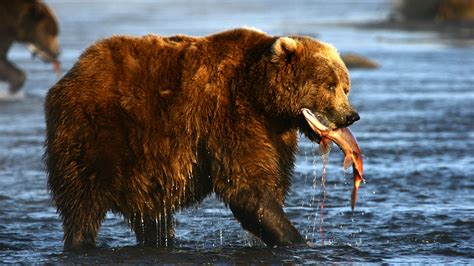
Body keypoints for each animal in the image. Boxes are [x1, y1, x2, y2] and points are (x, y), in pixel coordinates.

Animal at [46, 28, 362, 250]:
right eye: (329, 85)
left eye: (345, 87)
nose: (351, 116)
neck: (263, 97)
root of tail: (72, 73)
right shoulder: (233, 115)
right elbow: (247, 186)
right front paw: (297, 240)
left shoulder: (274, 133)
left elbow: (270, 181)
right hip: (96, 134)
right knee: (82, 202)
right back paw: (80, 241)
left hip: (144, 165)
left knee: (150, 213)